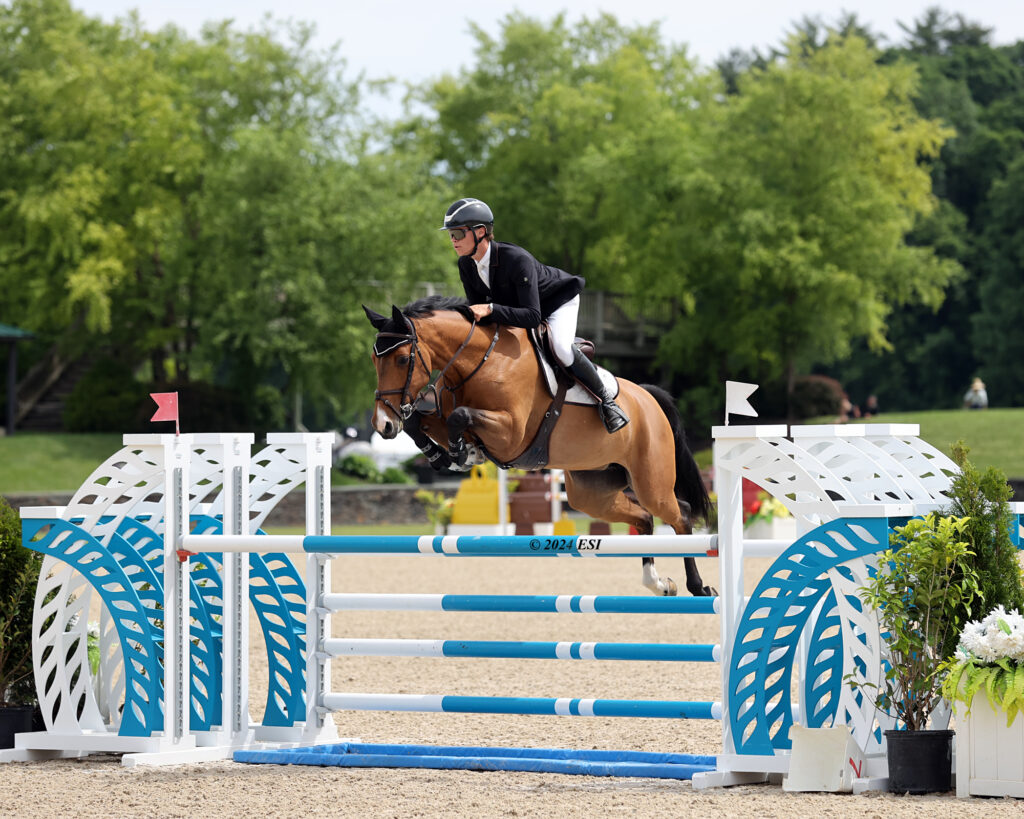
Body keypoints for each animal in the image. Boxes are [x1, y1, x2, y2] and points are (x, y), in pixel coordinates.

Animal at [366, 294, 712, 593]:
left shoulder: (511, 434)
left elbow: (460, 416)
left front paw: (463, 453)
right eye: (373, 359)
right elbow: (419, 421)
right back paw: (659, 584)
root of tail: (648, 397)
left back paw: (699, 587)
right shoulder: (442, 415)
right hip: (592, 492)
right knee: (643, 518)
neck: (479, 361)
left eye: (401, 359)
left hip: (651, 481)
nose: (382, 424)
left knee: (680, 514)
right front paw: (442, 456)